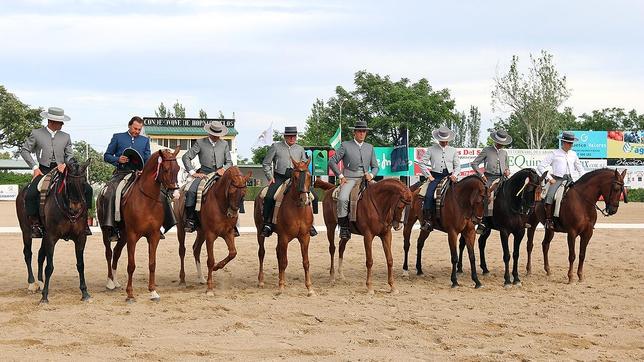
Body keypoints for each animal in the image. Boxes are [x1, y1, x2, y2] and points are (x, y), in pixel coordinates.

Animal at [15, 160, 92, 304]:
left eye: (84, 182)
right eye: (69, 183)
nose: (76, 208)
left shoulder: (80, 238)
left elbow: (81, 265)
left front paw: (85, 293)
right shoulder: (51, 238)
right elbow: (49, 267)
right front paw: (44, 296)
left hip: (44, 235)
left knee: (40, 255)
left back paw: (40, 282)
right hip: (26, 231)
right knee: (28, 254)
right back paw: (32, 283)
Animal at [102, 148, 180, 302]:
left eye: (178, 168)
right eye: (166, 169)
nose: (176, 194)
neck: (147, 201)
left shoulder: (153, 236)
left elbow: (152, 264)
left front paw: (153, 291)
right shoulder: (133, 236)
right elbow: (131, 265)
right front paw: (130, 294)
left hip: (124, 236)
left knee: (116, 252)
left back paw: (115, 281)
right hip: (106, 231)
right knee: (108, 253)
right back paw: (109, 282)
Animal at [174, 165, 249, 296]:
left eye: (244, 193)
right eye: (231, 191)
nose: (232, 214)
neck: (221, 204)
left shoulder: (228, 233)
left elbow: (233, 253)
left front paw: (217, 267)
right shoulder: (210, 235)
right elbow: (210, 260)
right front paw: (209, 288)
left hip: (201, 232)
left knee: (196, 249)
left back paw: (201, 278)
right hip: (181, 228)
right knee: (182, 251)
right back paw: (183, 280)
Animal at [256, 160, 316, 296]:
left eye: (309, 176)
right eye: (295, 177)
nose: (304, 199)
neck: (298, 209)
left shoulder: (305, 237)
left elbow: (306, 262)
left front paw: (309, 288)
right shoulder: (284, 237)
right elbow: (284, 261)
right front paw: (281, 287)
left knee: (278, 253)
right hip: (259, 231)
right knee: (262, 253)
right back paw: (261, 281)